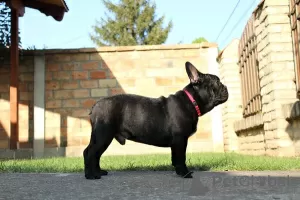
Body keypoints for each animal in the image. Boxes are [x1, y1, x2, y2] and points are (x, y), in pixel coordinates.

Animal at [82, 61, 227, 180]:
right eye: (217, 82)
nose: (225, 87)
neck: (192, 101)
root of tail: (95, 106)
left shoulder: (177, 142)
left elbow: (175, 158)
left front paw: (178, 172)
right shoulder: (180, 140)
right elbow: (181, 158)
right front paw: (185, 173)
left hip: (103, 137)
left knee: (95, 154)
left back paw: (98, 172)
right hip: (103, 135)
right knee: (90, 153)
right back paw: (91, 175)